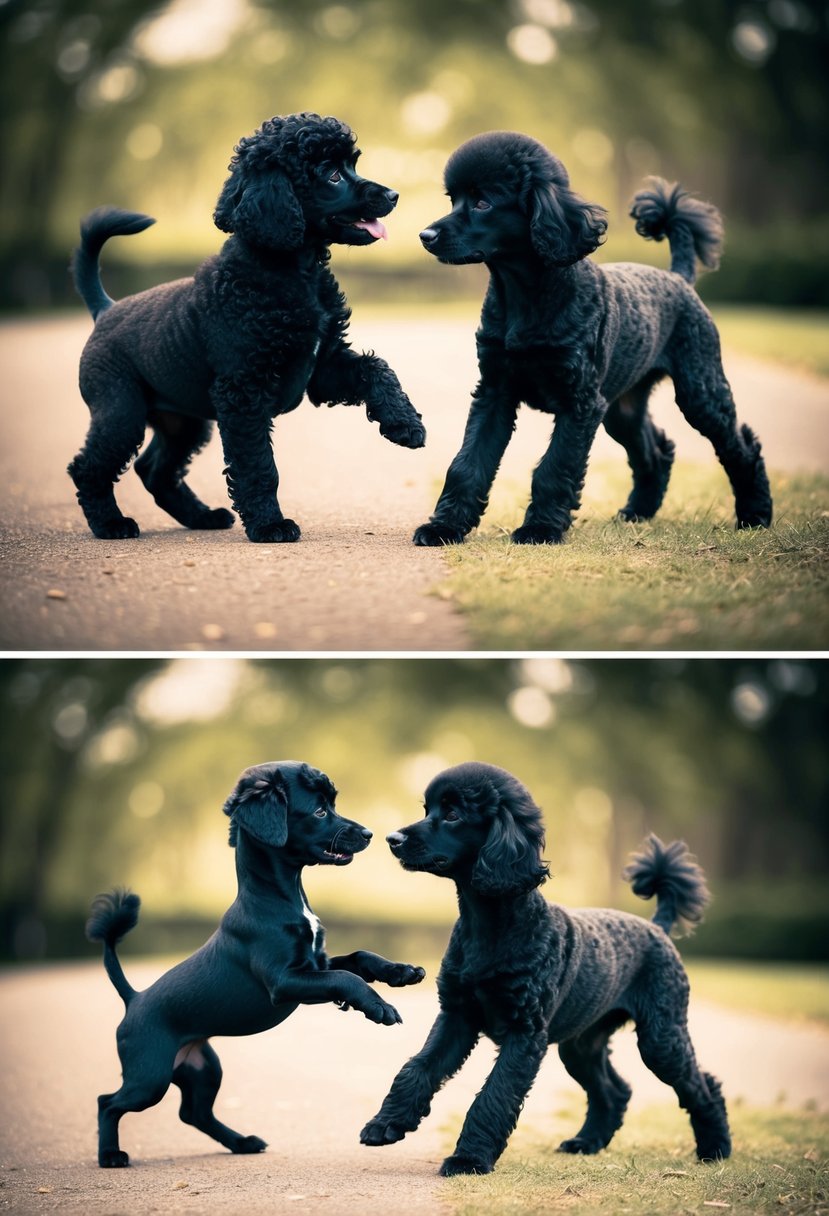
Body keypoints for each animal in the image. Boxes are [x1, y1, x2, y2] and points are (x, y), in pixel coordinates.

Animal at [67, 113, 423, 542]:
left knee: (153, 470)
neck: (289, 273)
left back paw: (203, 517)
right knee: (88, 469)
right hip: (121, 413)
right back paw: (111, 523)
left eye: (351, 164)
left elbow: (378, 368)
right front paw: (270, 525)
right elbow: (257, 465)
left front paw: (404, 423)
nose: (394, 195)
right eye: (334, 175)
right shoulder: (243, 392)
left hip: (182, 423)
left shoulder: (324, 367)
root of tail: (106, 309)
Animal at [84, 758, 423, 1167]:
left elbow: (359, 958)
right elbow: (346, 977)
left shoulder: (316, 963)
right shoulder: (285, 982)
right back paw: (110, 1154)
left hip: (202, 1068)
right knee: (108, 1102)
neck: (281, 897)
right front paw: (380, 1008)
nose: (371, 834)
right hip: (149, 1077)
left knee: (193, 1113)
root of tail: (133, 998)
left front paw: (402, 973)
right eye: (320, 810)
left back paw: (242, 1142)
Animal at [357, 763, 724, 1172]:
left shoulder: (525, 1033)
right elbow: (418, 1067)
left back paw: (715, 1149)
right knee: (615, 1092)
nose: (392, 838)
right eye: (427, 809)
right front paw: (386, 1123)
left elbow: (495, 1094)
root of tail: (656, 927)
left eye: (452, 814)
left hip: (661, 1039)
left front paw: (469, 1159)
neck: (492, 927)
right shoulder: (457, 1016)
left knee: (703, 1087)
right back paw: (586, 1142)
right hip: (581, 1045)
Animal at [415, 130, 773, 544]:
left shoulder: (580, 403)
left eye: (483, 201)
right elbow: (468, 463)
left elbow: (554, 468)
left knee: (742, 449)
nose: (425, 235)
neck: (528, 297)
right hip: (622, 408)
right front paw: (444, 526)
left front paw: (539, 529)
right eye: (453, 199)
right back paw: (637, 512)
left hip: (701, 394)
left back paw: (755, 515)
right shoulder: (495, 392)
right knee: (656, 451)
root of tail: (679, 277)